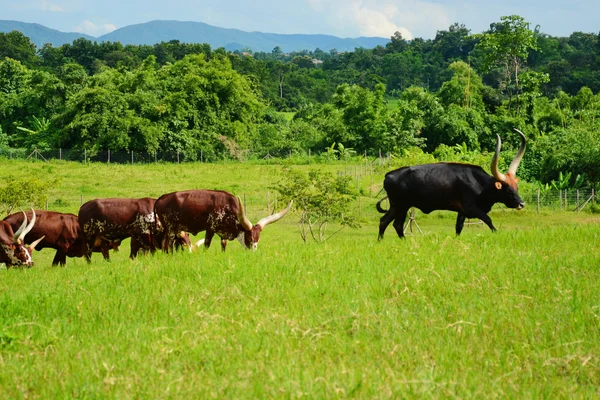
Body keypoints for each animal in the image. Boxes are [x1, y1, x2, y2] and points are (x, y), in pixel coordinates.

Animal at [154, 190, 292, 252]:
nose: (253, 252)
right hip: (170, 230)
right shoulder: (210, 229)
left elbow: (223, 246)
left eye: (258, 239)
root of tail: (161, 198)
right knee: (167, 246)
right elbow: (206, 245)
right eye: (249, 238)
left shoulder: (223, 234)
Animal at [378, 128, 528, 238]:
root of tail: (388, 175)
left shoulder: (462, 212)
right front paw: (496, 233)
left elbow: (458, 228)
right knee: (397, 224)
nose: (521, 204)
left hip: (396, 206)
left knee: (384, 221)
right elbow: (488, 220)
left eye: (516, 187)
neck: (481, 185)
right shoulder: (471, 208)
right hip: (402, 206)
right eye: (508, 189)